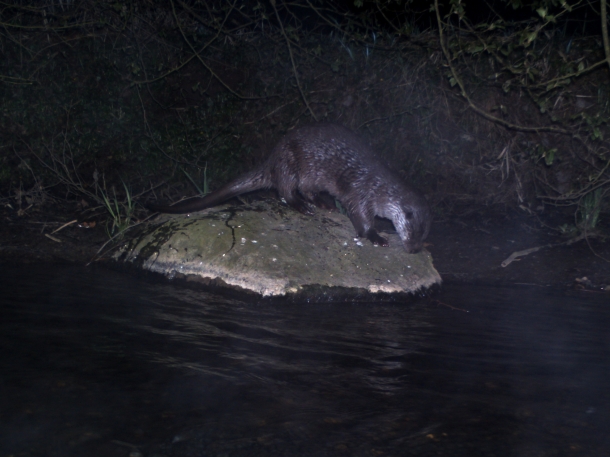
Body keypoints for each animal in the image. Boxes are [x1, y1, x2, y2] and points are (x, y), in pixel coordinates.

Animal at [148, 123, 430, 253]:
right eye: (413, 231)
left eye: (423, 236)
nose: (415, 249)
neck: (381, 190)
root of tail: (272, 158)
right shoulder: (361, 192)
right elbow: (359, 216)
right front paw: (376, 236)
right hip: (289, 163)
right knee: (285, 190)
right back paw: (303, 206)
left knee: (306, 189)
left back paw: (323, 204)